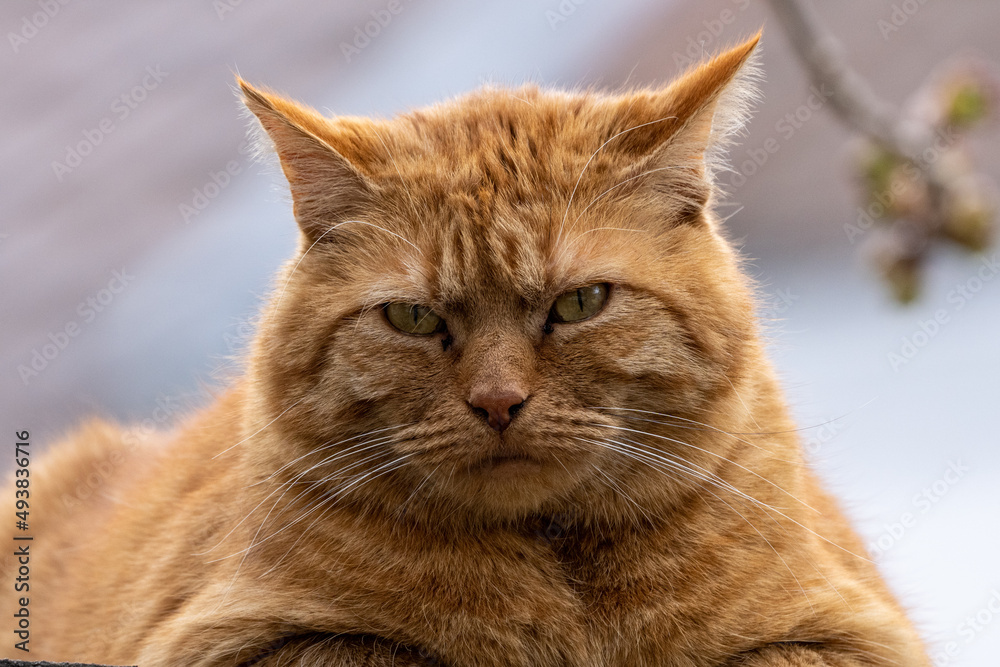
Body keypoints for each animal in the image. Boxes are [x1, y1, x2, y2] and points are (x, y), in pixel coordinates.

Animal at [5, 37, 928, 667]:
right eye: (413, 317)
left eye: (579, 303)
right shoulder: (240, 639)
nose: (497, 400)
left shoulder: (847, 634)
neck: (559, 570)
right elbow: (381, 647)